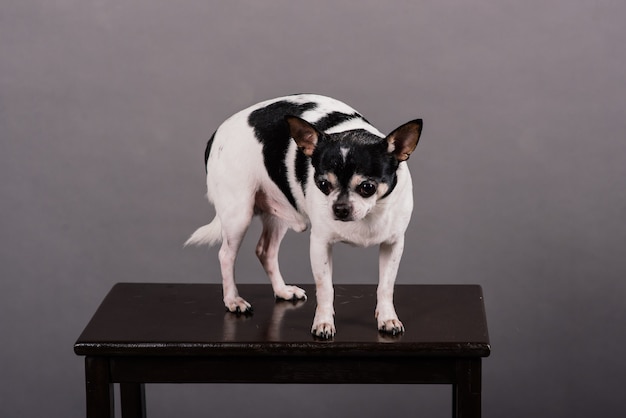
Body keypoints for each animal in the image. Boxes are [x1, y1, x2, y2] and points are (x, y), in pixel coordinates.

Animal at [184, 93, 420, 338]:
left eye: (367, 187)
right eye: (323, 184)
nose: (340, 208)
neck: (370, 213)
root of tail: (215, 135)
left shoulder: (393, 245)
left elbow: (386, 286)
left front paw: (388, 318)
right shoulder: (320, 244)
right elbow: (325, 288)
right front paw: (323, 323)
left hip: (276, 216)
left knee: (266, 251)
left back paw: (282, 290)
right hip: (238, 215)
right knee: (226, 255)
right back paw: (233, 300)